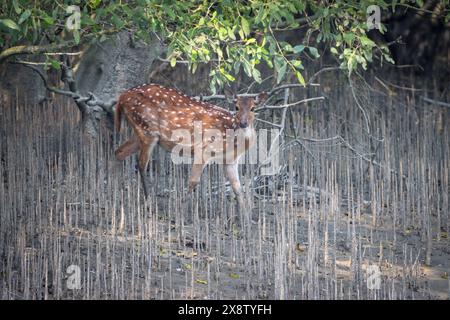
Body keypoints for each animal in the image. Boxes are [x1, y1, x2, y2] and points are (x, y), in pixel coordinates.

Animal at [114, 82, 268, 209]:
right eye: (236, 107)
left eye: (253, 108)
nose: (243, 123)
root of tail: (122, 97)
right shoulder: (204, 150)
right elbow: (193, 181)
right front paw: (184, 210)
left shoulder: (231, 160)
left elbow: (238, 188)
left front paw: (245, 218)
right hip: (147, 129)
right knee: (140, 164)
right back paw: (148, 201)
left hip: (139, 132)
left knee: (119, 152)